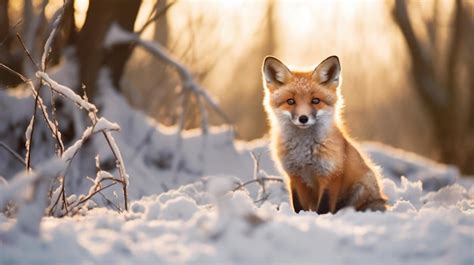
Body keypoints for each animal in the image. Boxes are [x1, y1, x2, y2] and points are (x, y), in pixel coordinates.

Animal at [262, 55, 386, 212]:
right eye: (290, 101)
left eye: (315, 101)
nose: (303, 118)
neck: (304, 153)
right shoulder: (295, 176)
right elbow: (298, 207)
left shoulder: (330, 175)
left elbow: (324, 207)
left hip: (361, 188)